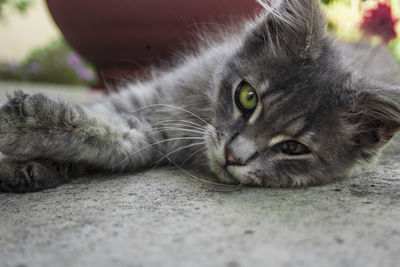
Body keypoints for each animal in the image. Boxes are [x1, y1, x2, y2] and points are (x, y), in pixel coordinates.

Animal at [0, 0, 400, 193]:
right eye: (247, 97)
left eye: (293, 148)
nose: (233, 156)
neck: (198, 109)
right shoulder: (151, 98)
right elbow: (92, 119)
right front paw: (21, 140)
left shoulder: (146, 134)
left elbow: (106, 135)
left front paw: (32, 160)